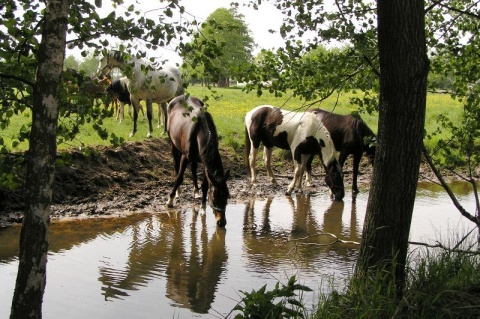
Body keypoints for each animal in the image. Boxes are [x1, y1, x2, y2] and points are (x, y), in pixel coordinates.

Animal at [167, 95, 231, 228]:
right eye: (215, 197)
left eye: (227, 196)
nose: (221, 222)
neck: (200, 131)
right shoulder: (185, 157)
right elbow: (180, 177)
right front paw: (170, 200)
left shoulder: (205, 163)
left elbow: (205, 185)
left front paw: (202, 208)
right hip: (173, 145)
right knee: (176, 166)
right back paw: (178, 192)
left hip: (195, 158)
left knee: (193, 168)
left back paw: (196, 191)